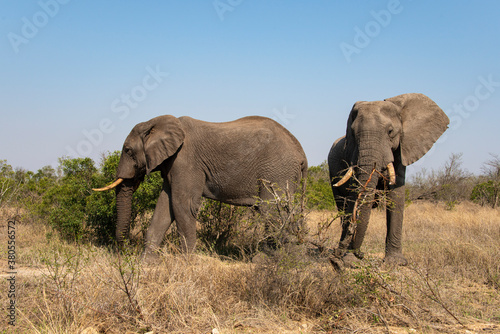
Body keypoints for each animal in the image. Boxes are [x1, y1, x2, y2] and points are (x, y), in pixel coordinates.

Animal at [92, 115, 306, 256]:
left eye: (128, 150)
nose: (124, 252)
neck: (156, 122)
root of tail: (301, 152)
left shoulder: (185, 161)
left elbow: (183, 205)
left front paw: (186, 264)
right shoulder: (172, 165)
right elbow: (165, 206)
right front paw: (145, 265)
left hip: (277, 171)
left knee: (272, 212)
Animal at [328, 92, 450, 264]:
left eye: (390, 131)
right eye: (353, 133)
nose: (357, 254)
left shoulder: (401, 149)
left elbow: (396, 195)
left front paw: (395, 262)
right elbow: (354, 194)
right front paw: (350, 260)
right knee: (342, 205)